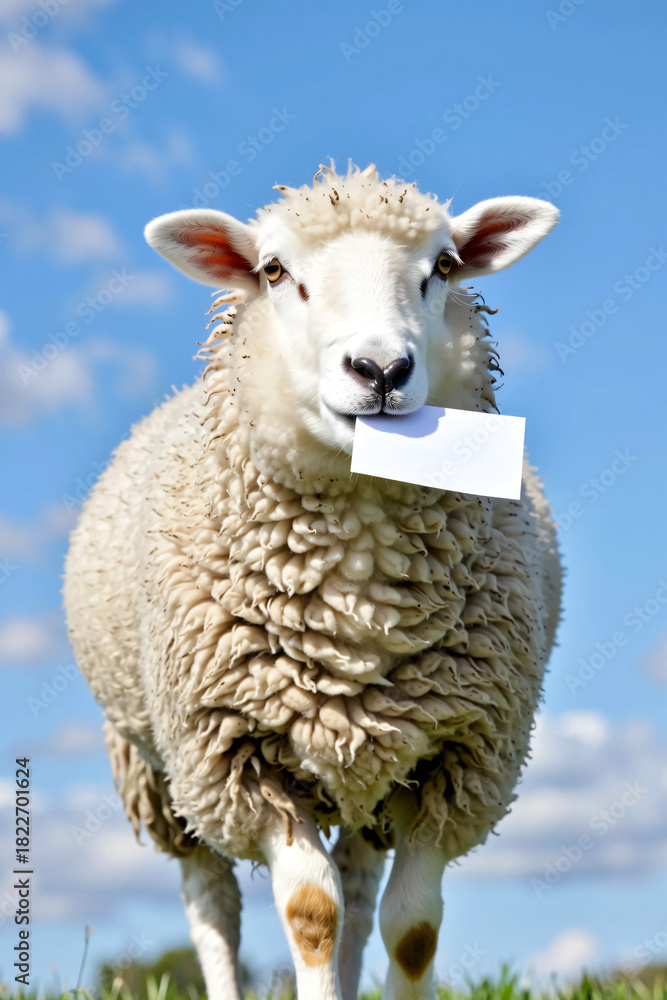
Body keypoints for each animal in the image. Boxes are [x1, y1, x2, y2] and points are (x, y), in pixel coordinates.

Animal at [63, 161, 561, 1000]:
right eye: (273, 271)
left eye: (443, 267)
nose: (380, 370)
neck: (357, 603)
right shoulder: (238, 755)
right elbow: (310, 916)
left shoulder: (456, 760)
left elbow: (411, 932)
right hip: (161, 769)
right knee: (210, 903)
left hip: (370, 768)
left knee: (359, 894)